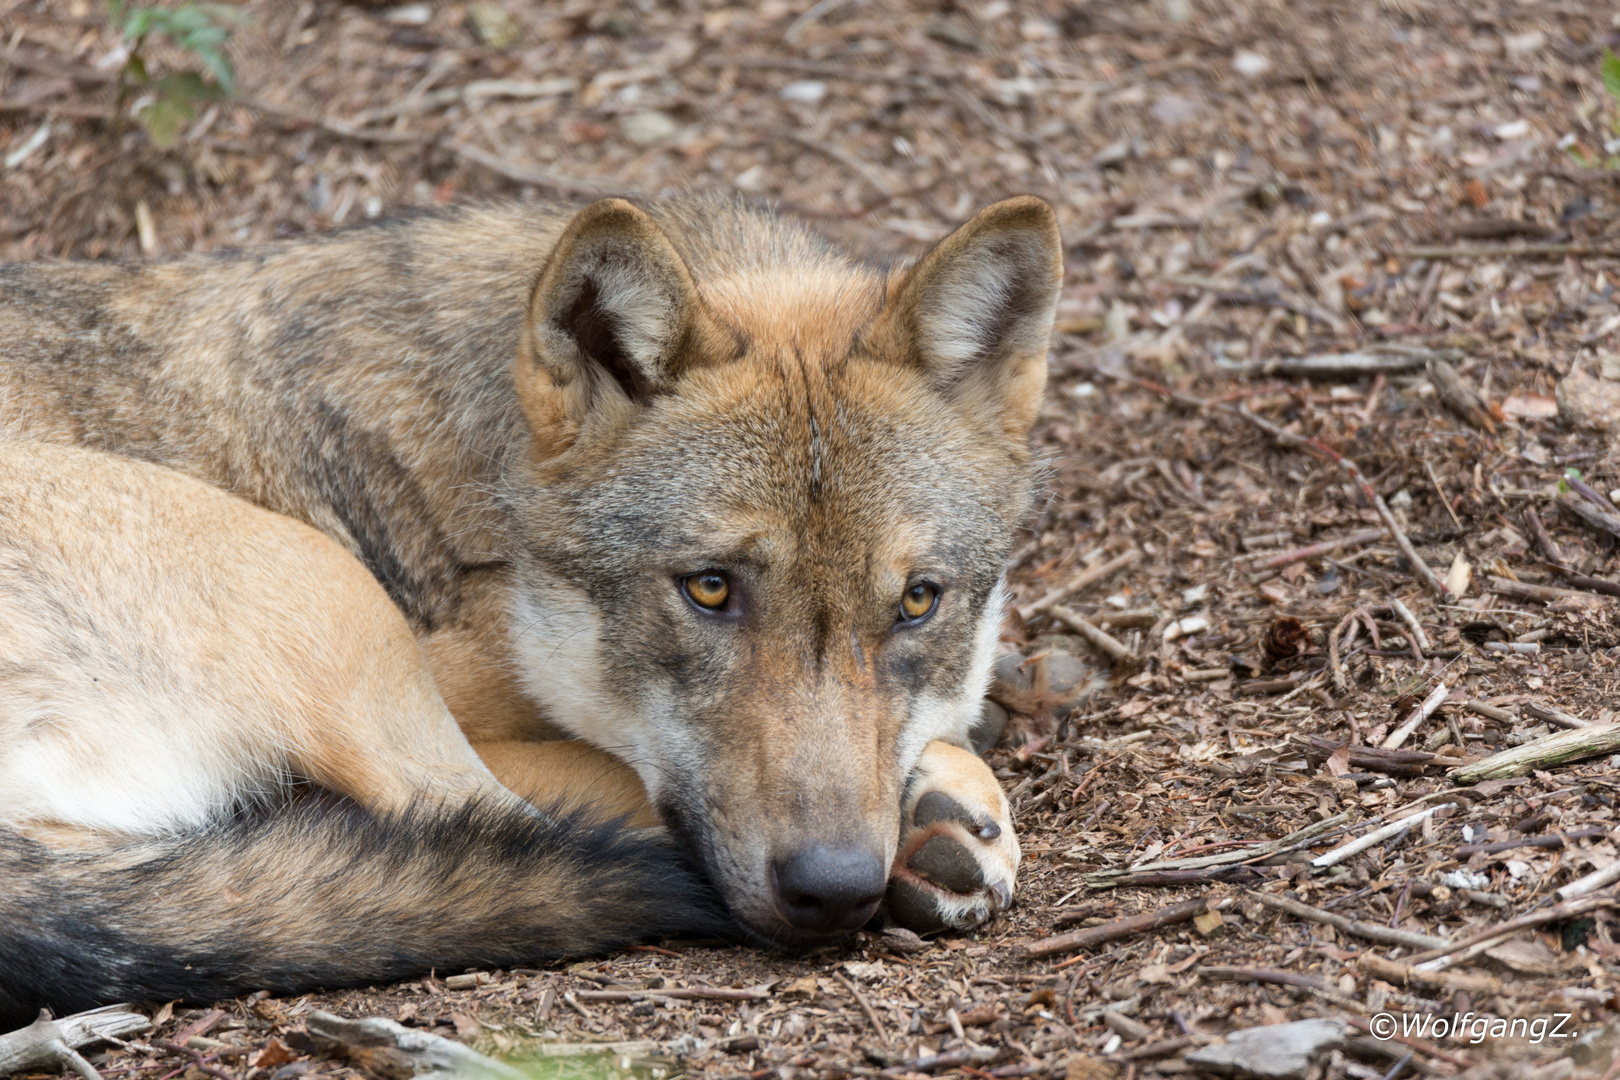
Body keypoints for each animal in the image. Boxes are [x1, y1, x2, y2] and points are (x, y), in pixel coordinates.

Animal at [0, 194, 1062, 1029]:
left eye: (917, 603)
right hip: (322, 590)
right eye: (710, 587)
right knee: (476, 820)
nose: (836, 889)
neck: (489, 502)